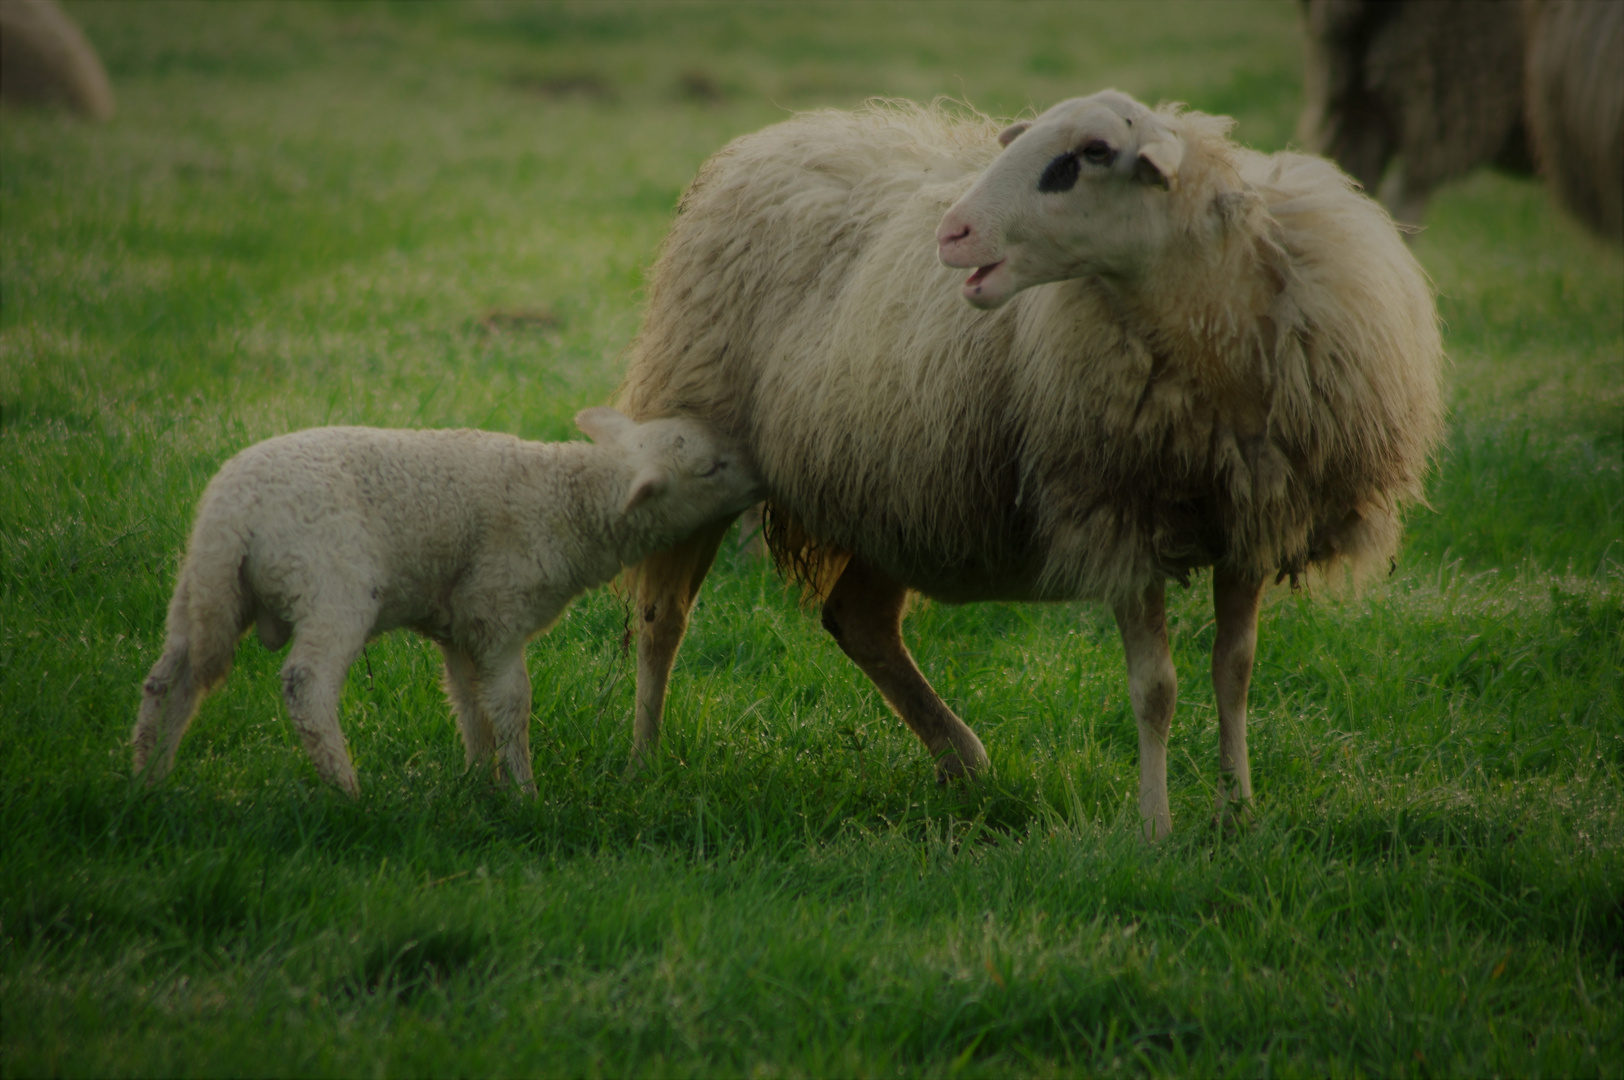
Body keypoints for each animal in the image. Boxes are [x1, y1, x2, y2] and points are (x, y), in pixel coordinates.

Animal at [131, 409, 760, 795]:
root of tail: (234, 510)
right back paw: (345, 789)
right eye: (711, 468)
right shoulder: (498, 611)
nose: (762, 476)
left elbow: (467, 703)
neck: (569, 499)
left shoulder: (461, 626)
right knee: (305, 684)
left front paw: (479, 781)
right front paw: (525, 792)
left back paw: (150, 775)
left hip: (205, 587)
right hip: (332, 584)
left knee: (171, 678)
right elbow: (511, 705)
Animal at [613, 88, 1442, 838]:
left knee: (859, 620)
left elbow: (1233, 669)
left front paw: (1237, 808)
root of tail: (765, 140)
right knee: (662, 618)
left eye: (1089, 155)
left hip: (895, 492)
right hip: (698, 433)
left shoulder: (1252, 517)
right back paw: (645, 761)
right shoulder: (1116, 514)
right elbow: (1156, 688)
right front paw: (1155, 827)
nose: (952, 233)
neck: (1208, 330)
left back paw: (961, 759)